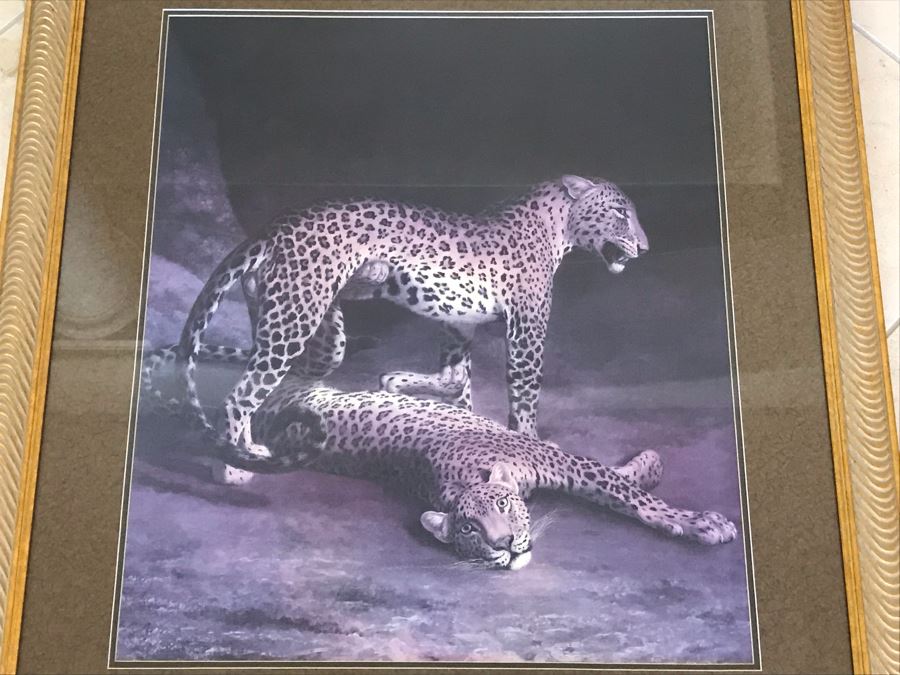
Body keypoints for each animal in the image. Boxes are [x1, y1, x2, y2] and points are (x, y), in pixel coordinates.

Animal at [144, 345, 736, 570]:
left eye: (502, 508)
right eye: (470, 531)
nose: (505, 546)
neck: (455, 482)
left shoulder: (557, 459)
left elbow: (629, 494)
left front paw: (699, 519)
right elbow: (619, 484)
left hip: (310, 374)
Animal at [176, 175, 648, 484]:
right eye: (620, 213)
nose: (645, 247)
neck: (557, 226)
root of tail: (276, 225)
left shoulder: (459, 322)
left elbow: (456, 378)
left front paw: (428, 399)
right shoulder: (528, 327)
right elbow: (526, 393)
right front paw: (531, 441)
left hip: (315, 329)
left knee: (284, 377)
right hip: (295, 317)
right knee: (241, 395)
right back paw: (234, 466)